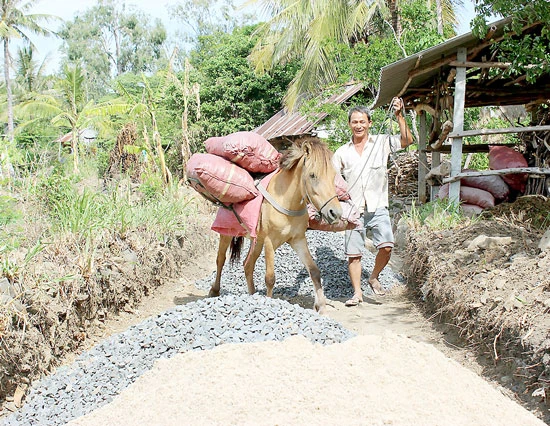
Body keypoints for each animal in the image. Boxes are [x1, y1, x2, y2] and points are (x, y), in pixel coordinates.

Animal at [209, 138, 342, 314]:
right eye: (313, 175)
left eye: (333, 176)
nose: (335, 213)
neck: (287, 201)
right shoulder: (269, 242)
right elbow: (270, 278)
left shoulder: (298, 240)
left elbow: (314, 270)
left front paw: (321, 306)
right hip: (227, 233)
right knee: (221, 260)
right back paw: (214, 291)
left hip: (256, 241)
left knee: (247, 265)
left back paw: (252, 295)